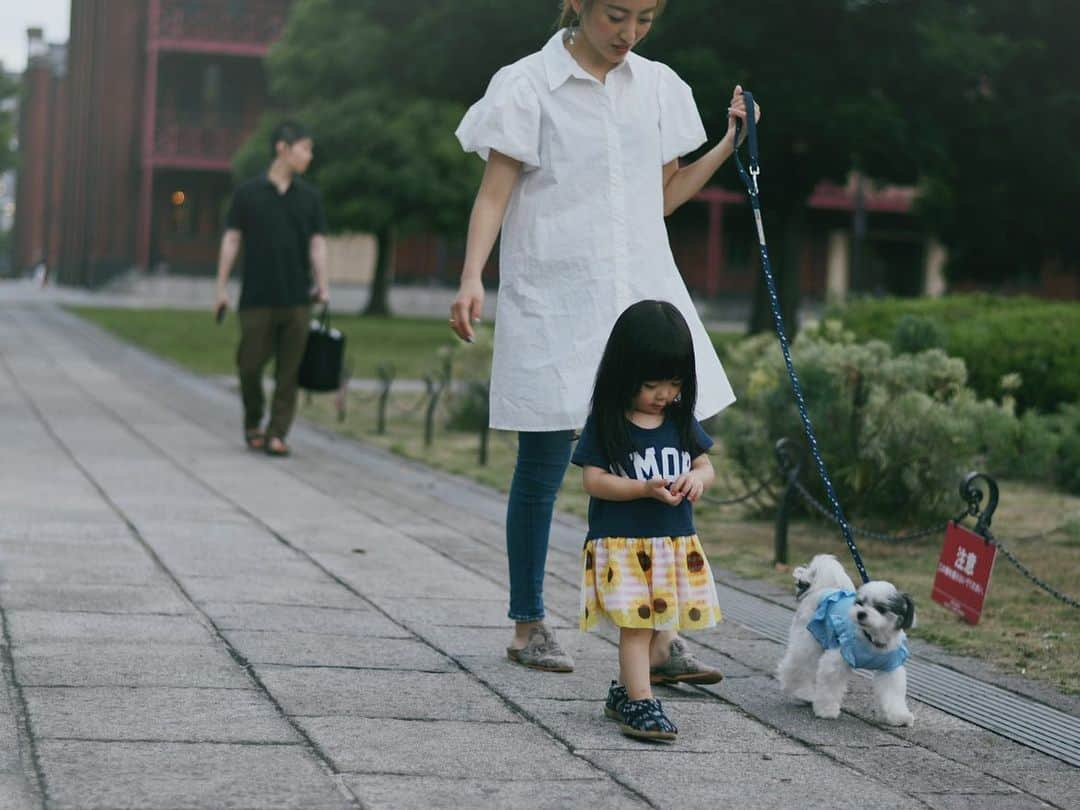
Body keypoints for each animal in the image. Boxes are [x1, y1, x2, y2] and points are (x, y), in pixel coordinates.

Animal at [781, 557, 915, 725]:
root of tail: (818, 590)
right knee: (795, 666)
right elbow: (830, 688)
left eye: (881, 608)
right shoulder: (837, 660)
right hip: (808, 642)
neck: (870, 638)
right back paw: (800, 693)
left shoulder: (890, 668)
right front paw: (826, 710)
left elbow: (893, 694)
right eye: (860, 603)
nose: (861, 614)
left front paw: (898, 716)